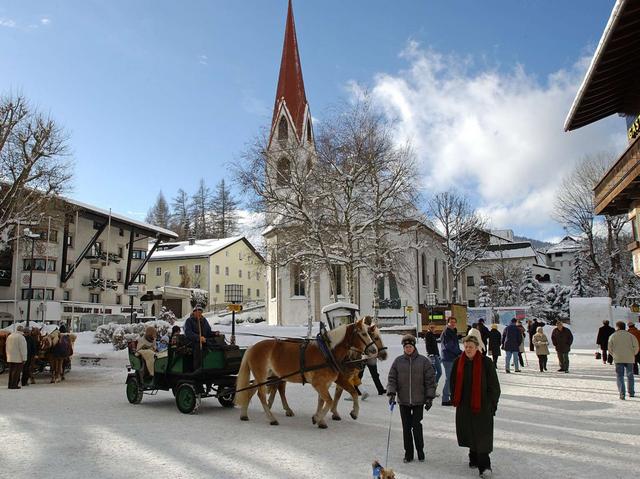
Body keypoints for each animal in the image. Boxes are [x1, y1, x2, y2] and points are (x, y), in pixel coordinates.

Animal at [234, 320, 376, 430]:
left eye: (369, 333)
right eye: (363, 334)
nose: (374, 350)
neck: (327, 352)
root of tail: (252, 347)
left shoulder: (325, 384)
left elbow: (323, 400)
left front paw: (320, 420)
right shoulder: (319, 383)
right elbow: (330, 400)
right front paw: (318, 418)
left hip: (265, 376)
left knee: (251, 390)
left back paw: (244, 414)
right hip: (262, 376)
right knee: (261, 395)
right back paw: (271, 418)